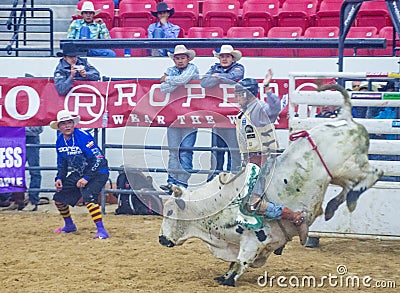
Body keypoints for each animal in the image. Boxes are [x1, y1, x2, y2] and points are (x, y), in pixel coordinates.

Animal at [158, 84, 382, 286]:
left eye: (169, 212)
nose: (161, 239)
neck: (217, 205)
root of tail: (345, 117)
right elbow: (233, 262)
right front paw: (223, 275)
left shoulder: (252, 240)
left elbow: (240, 262)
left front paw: (228, 279)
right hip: (339, 176)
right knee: (350, 186)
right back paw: (333, 207)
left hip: (347, 167)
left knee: (374, 174)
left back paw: (348, 200)